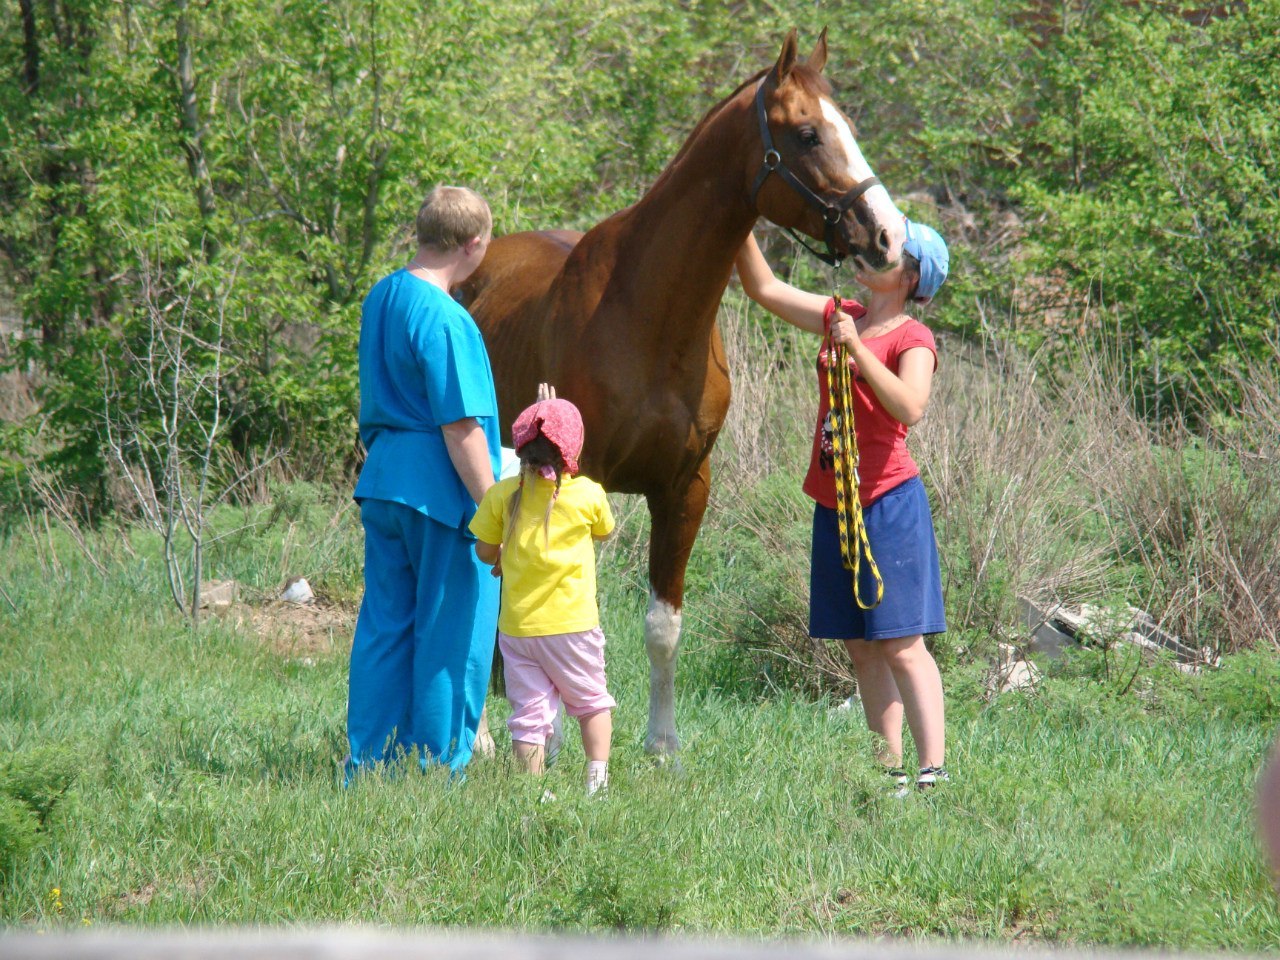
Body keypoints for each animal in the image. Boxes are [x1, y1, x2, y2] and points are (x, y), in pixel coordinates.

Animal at [455, 30, 906, 757]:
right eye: (808, 133)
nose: (889, 236)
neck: (648, 313)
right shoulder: (579, 480)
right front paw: (560, 738)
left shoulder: (686, 486)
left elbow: (662, 625)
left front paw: (661, 743)